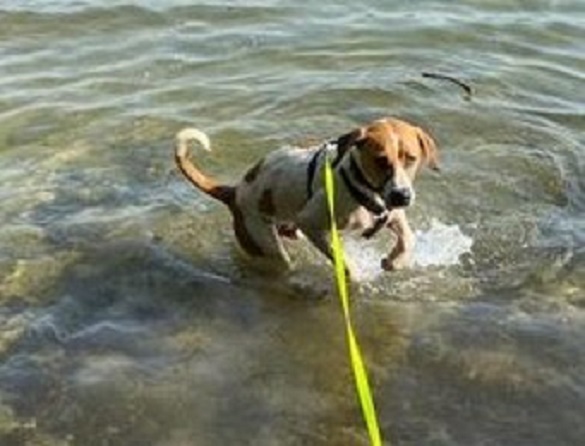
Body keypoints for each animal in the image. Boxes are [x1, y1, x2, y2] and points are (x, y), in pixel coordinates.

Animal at [174, 117, 439, 277]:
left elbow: (408, 238)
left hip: (288, 228)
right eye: (381, 161)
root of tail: (234, 191)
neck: (360, 185)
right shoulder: (312, 224)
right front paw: (355, 277)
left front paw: (395, 262)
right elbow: (344, 262)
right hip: (267, 243)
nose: (402, 196)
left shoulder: (393, 214)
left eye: (411, 158)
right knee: (281, 260)